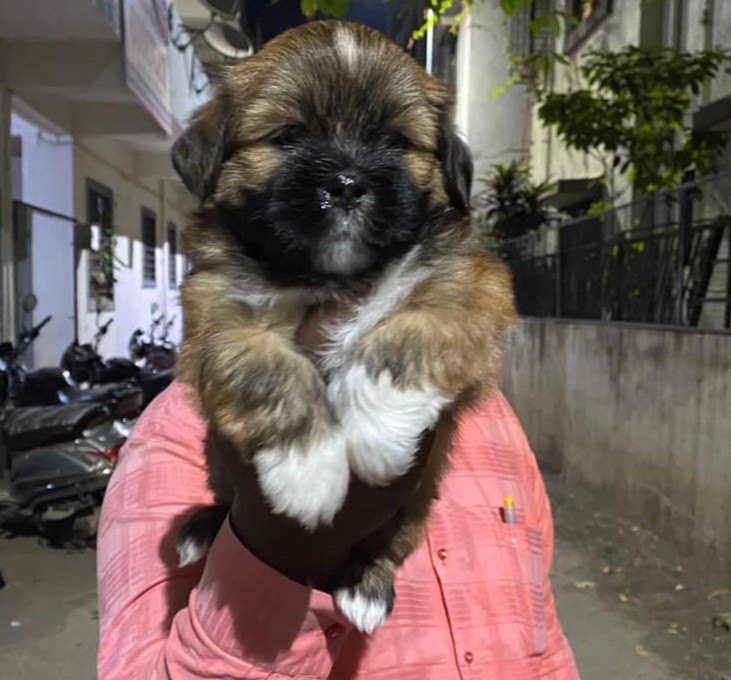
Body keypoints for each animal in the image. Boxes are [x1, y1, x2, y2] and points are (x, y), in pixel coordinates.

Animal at [171, 21, 516, 636]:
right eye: (288, 136)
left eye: (396, 142)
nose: (348, 181)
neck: (334, 274)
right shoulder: (217, 312)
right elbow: (267, 372)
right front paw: (307, 469)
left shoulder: (470, 283)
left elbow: (407, 335)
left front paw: (377, 430)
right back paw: (203, 527)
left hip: (413, 509)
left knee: (386, 545)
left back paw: (364, 586)